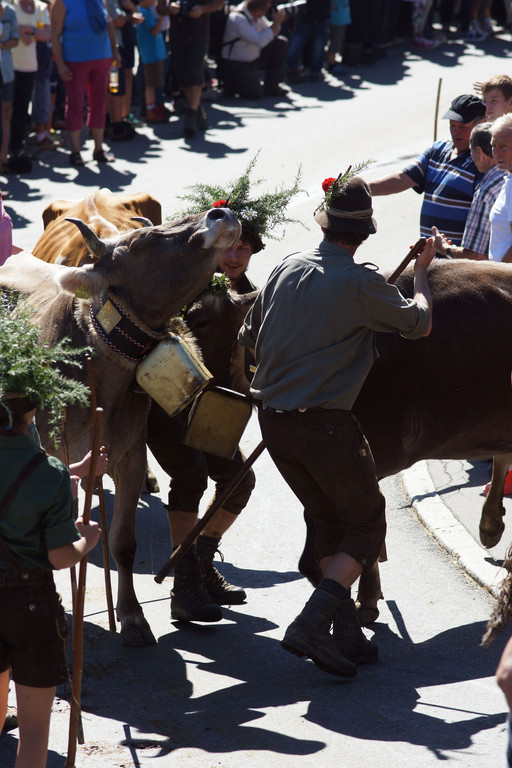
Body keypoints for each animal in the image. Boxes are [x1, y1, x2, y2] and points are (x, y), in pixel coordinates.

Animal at [0, 207, 240, 644]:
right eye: (144, 241)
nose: (222, 211)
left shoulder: (129, 455)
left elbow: (124, 542)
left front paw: (131, 617)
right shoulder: (52, 462)